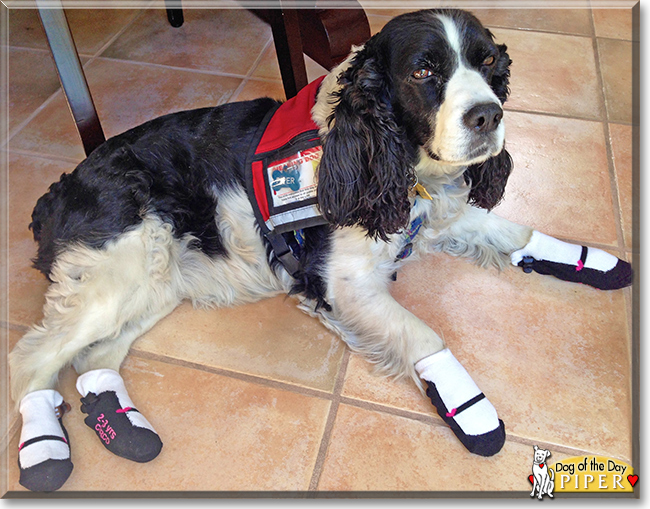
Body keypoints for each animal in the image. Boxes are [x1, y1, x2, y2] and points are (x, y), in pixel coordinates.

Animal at [10, 8, 632, 492]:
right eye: (423, 70)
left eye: (486, 65)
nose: (489, 115)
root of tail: (58, 189)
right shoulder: (340, 284)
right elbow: (427, 336)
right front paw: (473, 413)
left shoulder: (442, 216)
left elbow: (518, 233)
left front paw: (597, 261)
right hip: (114, 277)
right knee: (31, 360)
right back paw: (44, 451)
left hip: (155, 281)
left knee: (91, 359)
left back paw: (126, 429)